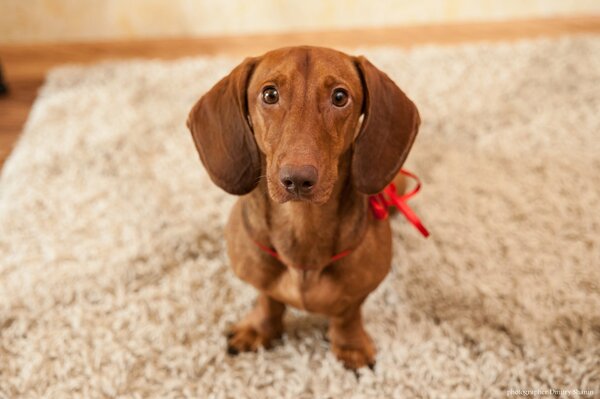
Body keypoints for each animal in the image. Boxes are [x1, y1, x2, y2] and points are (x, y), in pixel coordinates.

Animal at [188, 45, 422, 370]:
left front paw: (351, 347)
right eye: (270, 94)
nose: (297, 180)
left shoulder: (359, 290)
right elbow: (268, 300)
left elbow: (347, 314)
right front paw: (258, 329)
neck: (303, 226)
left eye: (340, 96)